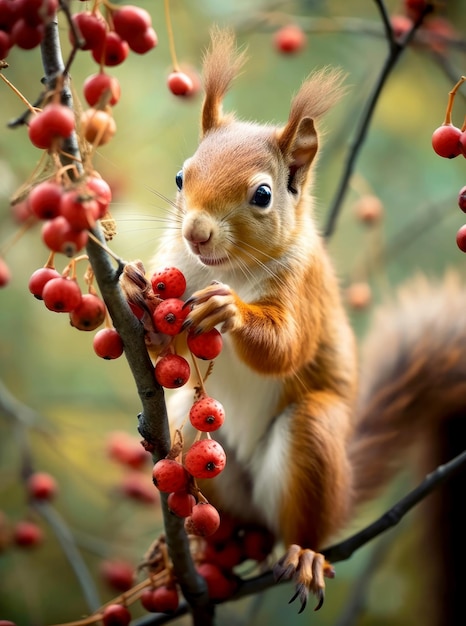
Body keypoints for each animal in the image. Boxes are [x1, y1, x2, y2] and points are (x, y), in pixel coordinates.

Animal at [124, 26, 466, 616]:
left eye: (263, 195)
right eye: (180, 176)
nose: (196, 232)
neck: (229, 269)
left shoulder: (301, 288)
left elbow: (286, 347)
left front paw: (230, 312)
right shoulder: (179, 267)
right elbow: (163, 341)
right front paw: (135, 290)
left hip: (315, 440)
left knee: (301, 522)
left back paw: (304, 554)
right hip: (199, 440)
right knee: (222, 514)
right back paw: (186, 547)